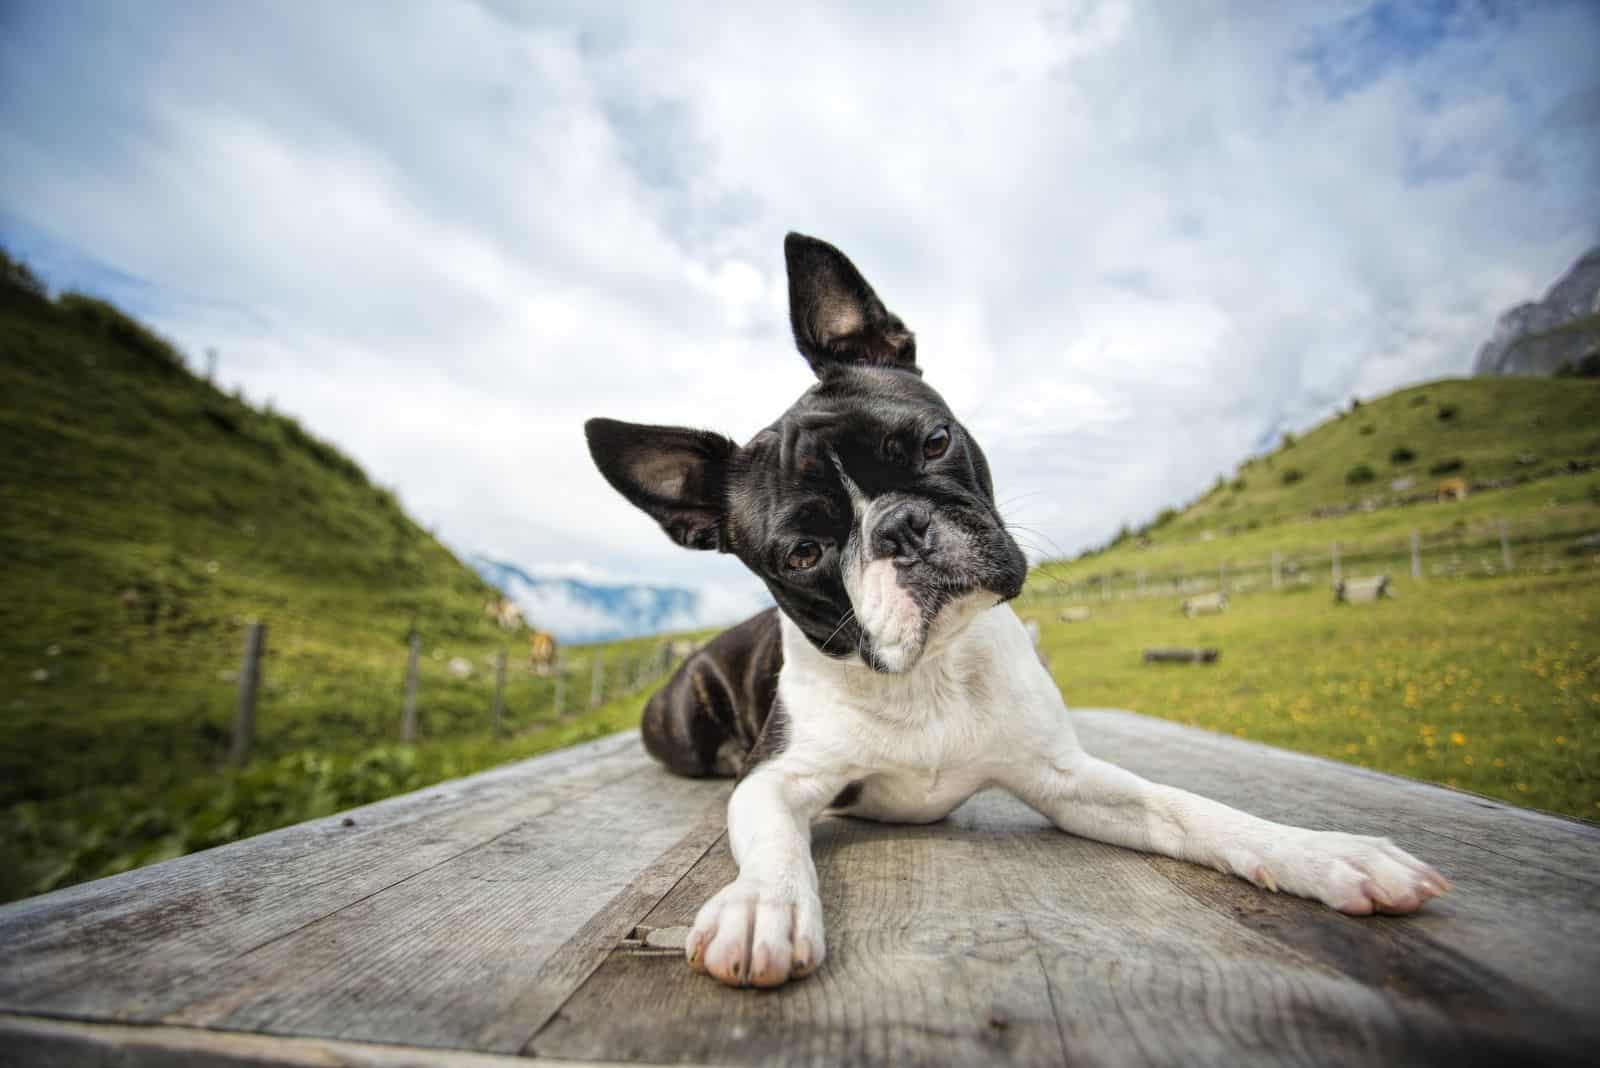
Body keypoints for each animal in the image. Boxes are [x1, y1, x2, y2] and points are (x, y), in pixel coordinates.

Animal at [588, 230, 1452, 991]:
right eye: (803, 553)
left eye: (935, 442)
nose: (902, 529)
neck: (931, 671)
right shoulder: (778, 778)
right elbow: (771, 835)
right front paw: (762, 906)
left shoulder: (1065, 777)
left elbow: (1188, 808)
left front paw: (1322, 852)